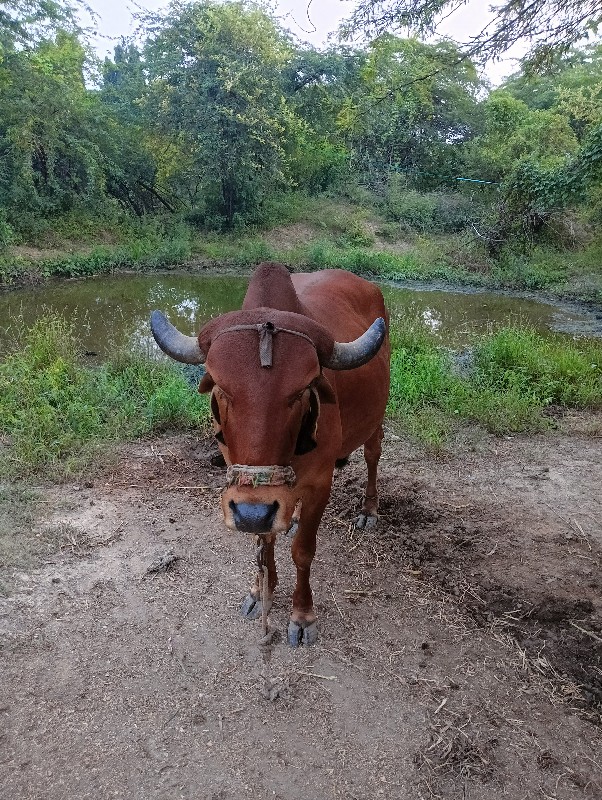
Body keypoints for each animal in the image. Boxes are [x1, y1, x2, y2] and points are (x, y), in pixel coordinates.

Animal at [150, 262, 390, 644]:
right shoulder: (252, 497)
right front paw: (260, 591)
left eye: (302, 391)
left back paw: (368, 509)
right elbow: (264, 540)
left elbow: (303, 552)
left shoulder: (320, 483)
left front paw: (303, 616)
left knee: (373, 455)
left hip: (375, 420)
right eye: (220, 388)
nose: (253, 512)